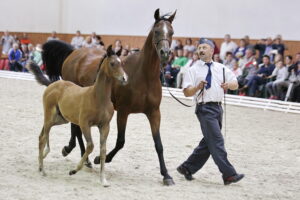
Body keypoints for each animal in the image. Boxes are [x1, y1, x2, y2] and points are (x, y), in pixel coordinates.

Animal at [31, 45, 126, 188]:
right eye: (112, 63)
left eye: (122, 63)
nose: (124, 78)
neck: (98, 97)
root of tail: (53, 84)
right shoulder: (84, 124)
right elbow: (90, 146)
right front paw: (74, 170)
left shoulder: (105, 126)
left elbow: (103, 151)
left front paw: (103, 180)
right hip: (49, 115)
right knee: (42, 138)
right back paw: (43, 170)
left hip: (60, 119)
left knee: (41, 135)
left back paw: (40, 163)